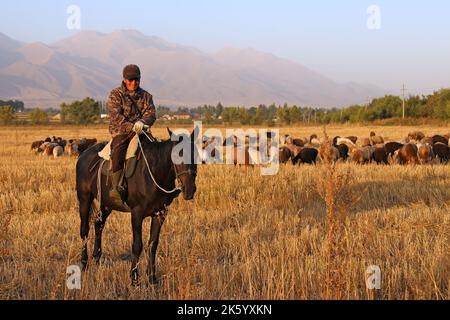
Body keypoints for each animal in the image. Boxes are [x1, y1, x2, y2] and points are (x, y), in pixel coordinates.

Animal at [75, 127, 197, 284]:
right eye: (177, 154)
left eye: (195, 155)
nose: (190, 189)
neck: (154, 173)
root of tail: (84, 154)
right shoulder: (137, 214)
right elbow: (137, 245)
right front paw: (134, 279)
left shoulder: (160, 214)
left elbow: (153, 245)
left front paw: (152, 278)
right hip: (84, 199)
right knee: (84, 230)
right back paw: (84, 264)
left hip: (106, 204)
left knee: (98, 225)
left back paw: (97, 258)